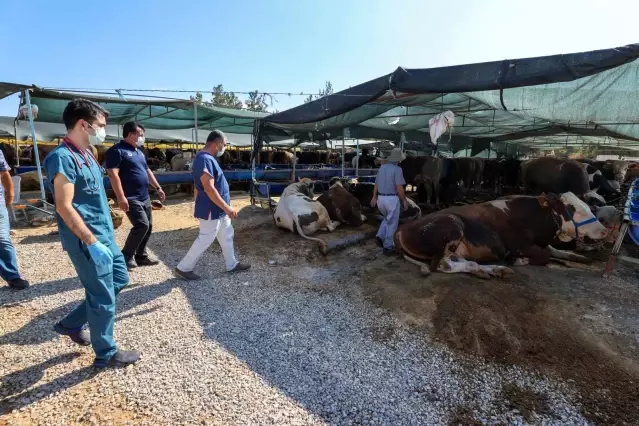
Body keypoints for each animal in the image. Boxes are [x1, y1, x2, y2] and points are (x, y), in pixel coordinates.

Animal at [396, 191, 608, 278]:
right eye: (573, 209)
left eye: (587, 206)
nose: (604, 231)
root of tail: (401, 229)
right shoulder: (519, 245)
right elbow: (545, 254)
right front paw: (518, 260)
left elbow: (556, 251)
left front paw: (579, 257)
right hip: (453, 225)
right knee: (443, 264)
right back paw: (495, 268)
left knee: (458, 261)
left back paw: (491, 269)